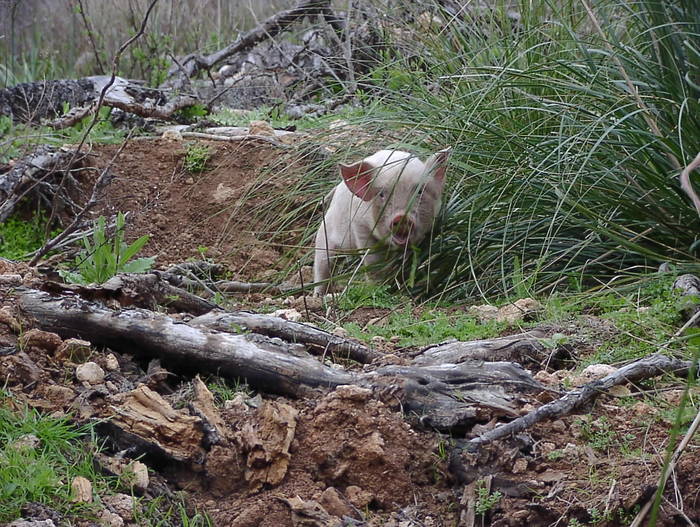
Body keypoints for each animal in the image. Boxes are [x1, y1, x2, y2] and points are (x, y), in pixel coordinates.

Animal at [314, 147, 452, 296]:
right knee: (323, 266)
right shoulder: (361, 227)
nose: (402, 217)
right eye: (381, 194)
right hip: (324, 236)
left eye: (420, 192)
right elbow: (373, 263)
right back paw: (320, 295)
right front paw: (376, 288)